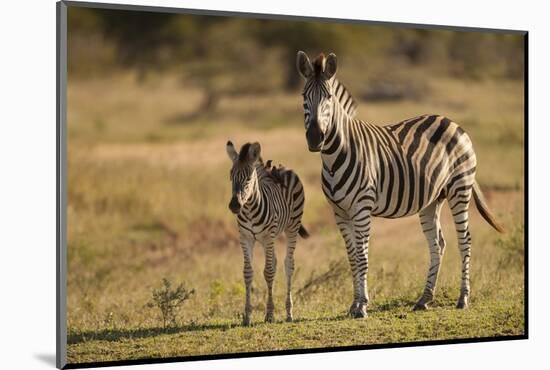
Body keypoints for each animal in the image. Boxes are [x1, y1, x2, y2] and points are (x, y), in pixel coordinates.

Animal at [225, 140, 310, 326]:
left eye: (249, 177)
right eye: (231, 176)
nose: (234, 205)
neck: (249, 209)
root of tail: (281, 167)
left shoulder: (267, 237)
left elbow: (269, 272)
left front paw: (270, 314)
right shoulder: (245, 238)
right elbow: (248, 273)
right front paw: (247, 316)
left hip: (291, 228)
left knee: (288, 265)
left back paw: (289, 313)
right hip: (270, 238)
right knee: (276, 262)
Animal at [298, 51, 504, 318]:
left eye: (329, 98)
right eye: (304, 97)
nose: (315, 138)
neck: (335, 157)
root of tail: (452, 122)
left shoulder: (362, 208)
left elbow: (362, 256)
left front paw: (362, 305)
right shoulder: (339, 212)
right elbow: (352, 256)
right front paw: (354, 304)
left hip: (460, 188)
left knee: (465, 240)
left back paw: (463, 299)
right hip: (431, 200)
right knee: (437, 244)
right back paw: (424, 299)